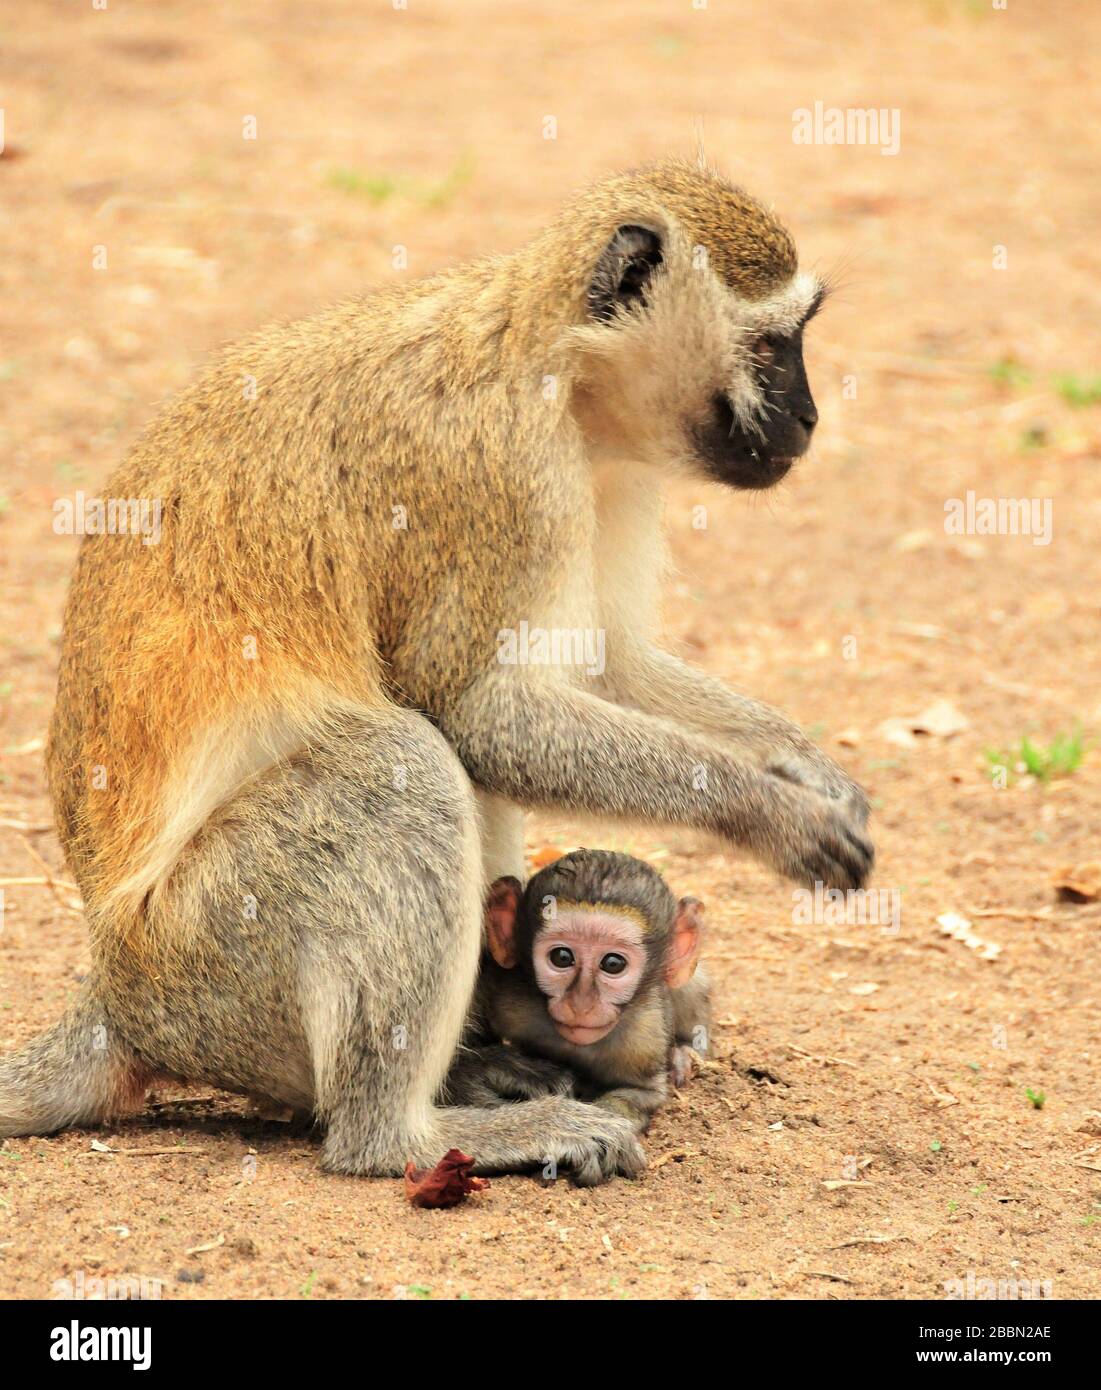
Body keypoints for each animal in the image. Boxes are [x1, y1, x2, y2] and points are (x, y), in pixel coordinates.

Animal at [446, 851, 712, 1132]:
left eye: (613, 963)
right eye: (562, 957)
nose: (581, 1004)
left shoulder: (645, 1039)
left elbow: (641, 1095)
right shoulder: (507, 988)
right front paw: (491, 1074)